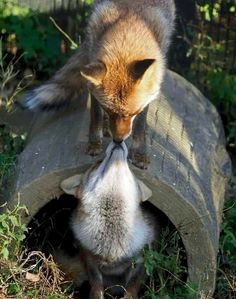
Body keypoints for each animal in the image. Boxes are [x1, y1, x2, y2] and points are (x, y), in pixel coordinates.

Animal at [20, 0, 175, 169]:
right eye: (109, 110)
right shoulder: (93, 87)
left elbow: (140, 127)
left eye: (132, 113)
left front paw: (139, 153)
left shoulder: (147, 99)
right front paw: (94, 143)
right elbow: (96, 117)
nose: (118, 140)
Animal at [59, 142, 159, 298]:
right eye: (98, 163)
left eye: (130, 169)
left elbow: (131, 289)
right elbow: (96, 288)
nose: (118, 143)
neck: (112, 247)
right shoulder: (89, 260)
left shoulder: (141, 261)